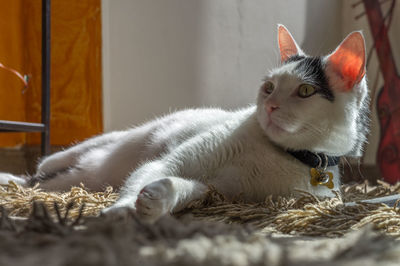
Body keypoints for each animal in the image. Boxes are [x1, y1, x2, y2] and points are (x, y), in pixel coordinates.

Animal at [0, 25, 370, 222]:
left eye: (305, 90)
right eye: (268, 87)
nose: (270, 105)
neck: (279, 154)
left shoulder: (223, 191)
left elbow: (191, 189)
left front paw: (157, 199)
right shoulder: (175, 159)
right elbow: (154, 170)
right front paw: (120, 210)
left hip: (83, 178)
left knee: (42, 183)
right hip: (97, 149)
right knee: (43, 169)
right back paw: (21, 174)